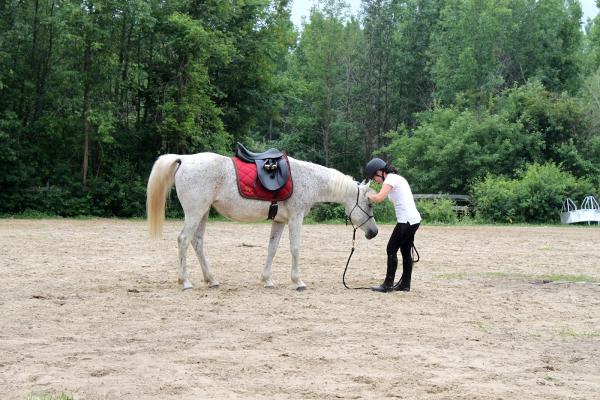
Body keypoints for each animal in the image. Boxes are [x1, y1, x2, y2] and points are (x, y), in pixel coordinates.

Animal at [147, 152, 378, 290]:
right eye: (369, 204)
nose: (374, 232)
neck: (308, 179)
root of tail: (184, 159)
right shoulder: (295, 218)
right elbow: (295, 248)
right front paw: (298, 281)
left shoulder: (280, 221)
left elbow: (272, 248)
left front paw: (267, 279)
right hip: (195, 213)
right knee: (184, 240)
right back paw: (185, 281)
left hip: (202, 213)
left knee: (197, 242)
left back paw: (211, 280)